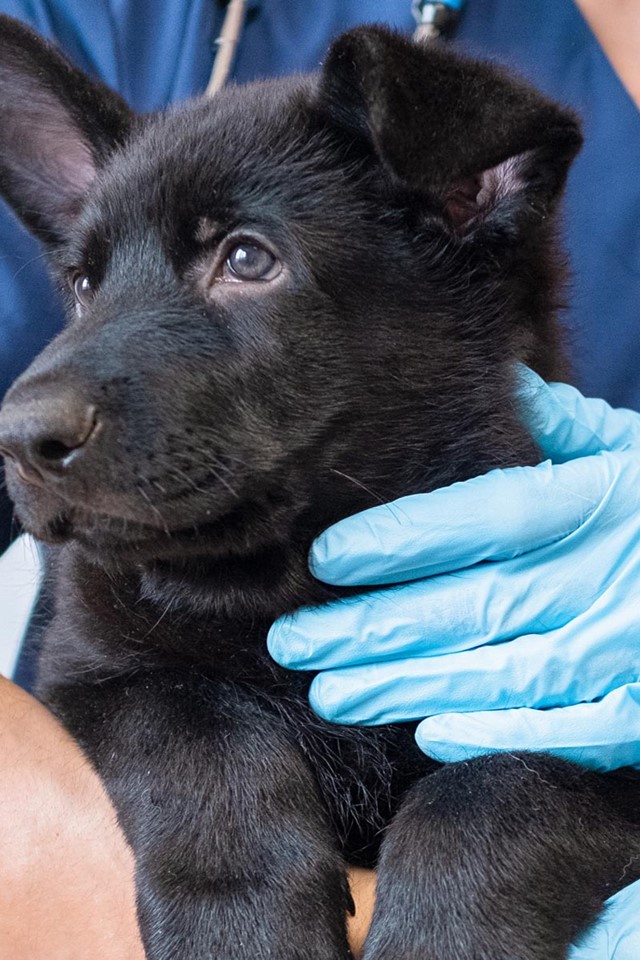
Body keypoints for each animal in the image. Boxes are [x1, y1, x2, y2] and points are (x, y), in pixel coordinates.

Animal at [1, 16, 640, 960]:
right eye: (84, 285)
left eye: (246, 258)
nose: (19, 438)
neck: (280, 579)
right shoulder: (95, 668)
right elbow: (200, 727)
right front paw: (239, 926)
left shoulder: (582, 723)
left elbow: (501, 786)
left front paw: (445, 935)